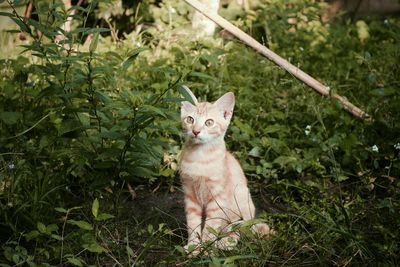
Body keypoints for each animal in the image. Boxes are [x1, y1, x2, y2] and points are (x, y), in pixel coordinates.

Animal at [180, 89, 274, 254]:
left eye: (209, 122)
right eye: (190, 119)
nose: (195, 131)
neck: (200, 157)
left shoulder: (217, 198)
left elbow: (211, 226)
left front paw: (206, 249)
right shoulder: (190, 193)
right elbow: (193, 223)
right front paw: (193, 246)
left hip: (241, 206)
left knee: (238, 231)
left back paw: (224, 243)